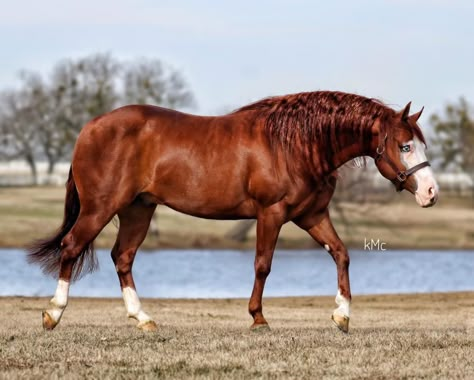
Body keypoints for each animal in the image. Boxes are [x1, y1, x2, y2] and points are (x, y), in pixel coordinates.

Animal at [27, 91, 438, 332]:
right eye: (404, 146)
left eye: (419, 145)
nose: (431, 192)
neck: (295, 144)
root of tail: (89, 129)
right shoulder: (271, 215)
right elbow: (262, 265)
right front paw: (258, 318)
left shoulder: (312, 216)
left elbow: (341, 254)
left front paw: (342, 315)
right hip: (100, 208)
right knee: (72, 247)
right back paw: (53, 314)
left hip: (137, 210)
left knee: (122, 257)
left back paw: (143, 320)